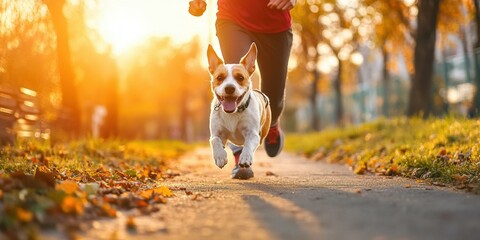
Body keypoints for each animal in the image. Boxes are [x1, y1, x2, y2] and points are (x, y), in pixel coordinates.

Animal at [205, 43, 270, 171]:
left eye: (240, 78)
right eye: (219, 77)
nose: (229, 88)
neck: (232, 113)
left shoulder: (253, 133)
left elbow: (248, 144)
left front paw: (245, 157)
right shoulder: (217, 133)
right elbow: (214, 140)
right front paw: (220, 157)